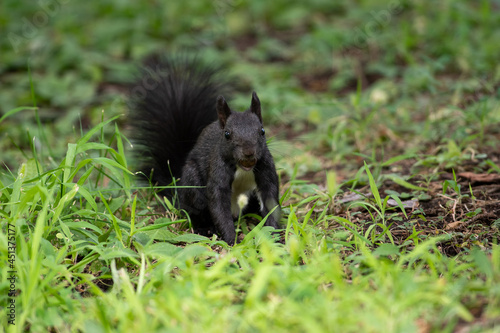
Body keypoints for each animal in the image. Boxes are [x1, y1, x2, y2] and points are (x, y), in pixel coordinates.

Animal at [129, 56, 282, 244]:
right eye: (227, 134)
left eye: (262, 131)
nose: (248, 152)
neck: (242, 169)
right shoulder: (217, 172)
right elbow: (218, 206)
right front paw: (232, 240)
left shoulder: (266, 170)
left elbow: (270, 201)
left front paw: (274, 235)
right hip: (194, 187)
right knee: (195, 213)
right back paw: (205, 229)